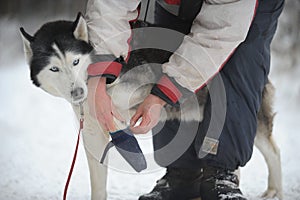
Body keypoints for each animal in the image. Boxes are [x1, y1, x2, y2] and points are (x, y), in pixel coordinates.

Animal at [19, 14, 282, 200]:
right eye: (54, 68)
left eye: (75, 61)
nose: (78, 93)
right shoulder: (93, 135)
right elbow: (98, 183)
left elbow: (129, 96)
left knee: (272, 151)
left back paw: (274, 190)